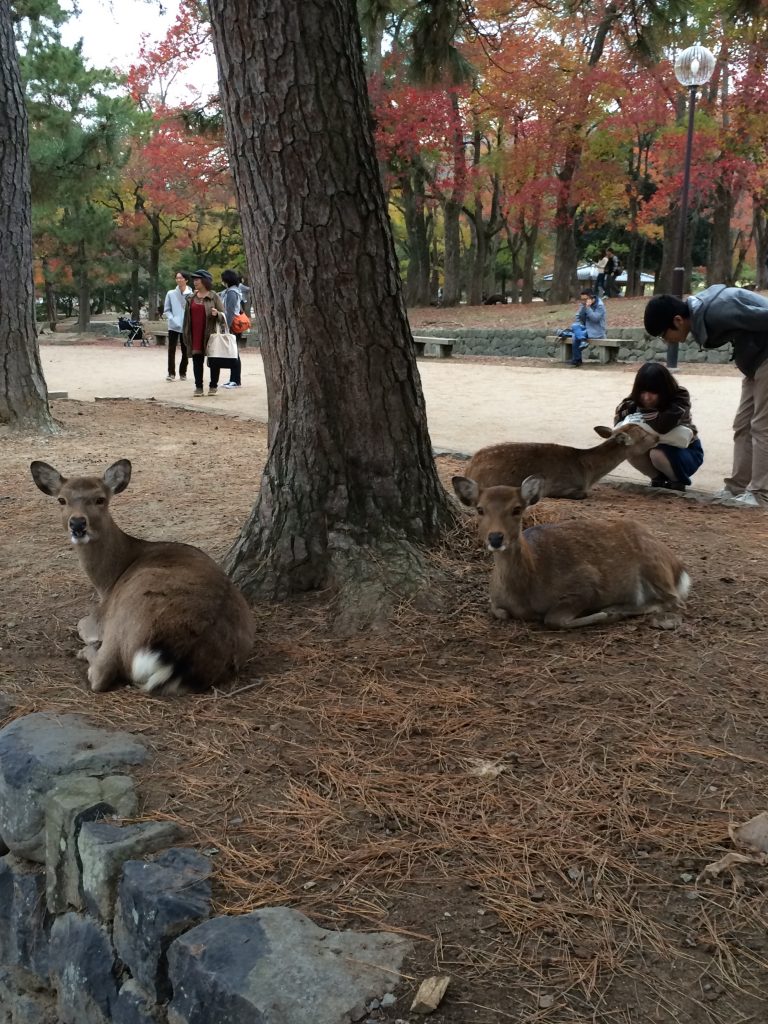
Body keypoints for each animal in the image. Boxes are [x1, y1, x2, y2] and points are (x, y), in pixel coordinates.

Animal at [30, 462, 256, 696]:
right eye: (61, 500)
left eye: (100, 499)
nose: (77, 524)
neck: (107, 580)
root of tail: (176, 661)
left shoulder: (99, 616)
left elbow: (81, 624)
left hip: (124, 617)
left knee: (102, 673)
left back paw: (87, 652)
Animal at [450, 475, 692, 626]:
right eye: (480, 509)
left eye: (517, 508)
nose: (495, 537)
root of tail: (679, 568)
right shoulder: (495, 602)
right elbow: (499, 612)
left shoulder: (587, 583)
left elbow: (553, 619)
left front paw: (604, 614)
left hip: (654, 565)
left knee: (675, 601)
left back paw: (617, 609)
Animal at [462, 421, 663, 497]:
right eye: (643, 435)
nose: (657, 437)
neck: (587, 472)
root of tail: (469, 468)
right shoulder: (557, 486)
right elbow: (584, 494)